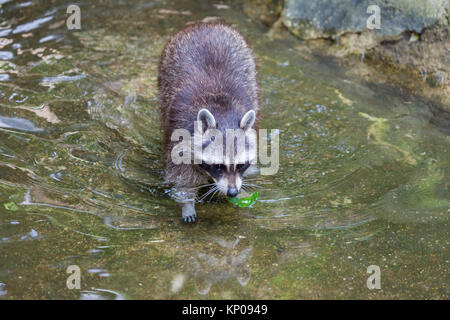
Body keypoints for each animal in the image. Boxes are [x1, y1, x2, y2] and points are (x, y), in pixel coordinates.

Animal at [158, 22, 260, 222]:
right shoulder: (180, 129)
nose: (233, 192)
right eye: (219, 166)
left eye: (241, 165)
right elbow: (180, 173)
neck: (223, 112)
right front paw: (187, 201)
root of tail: (205, 25)